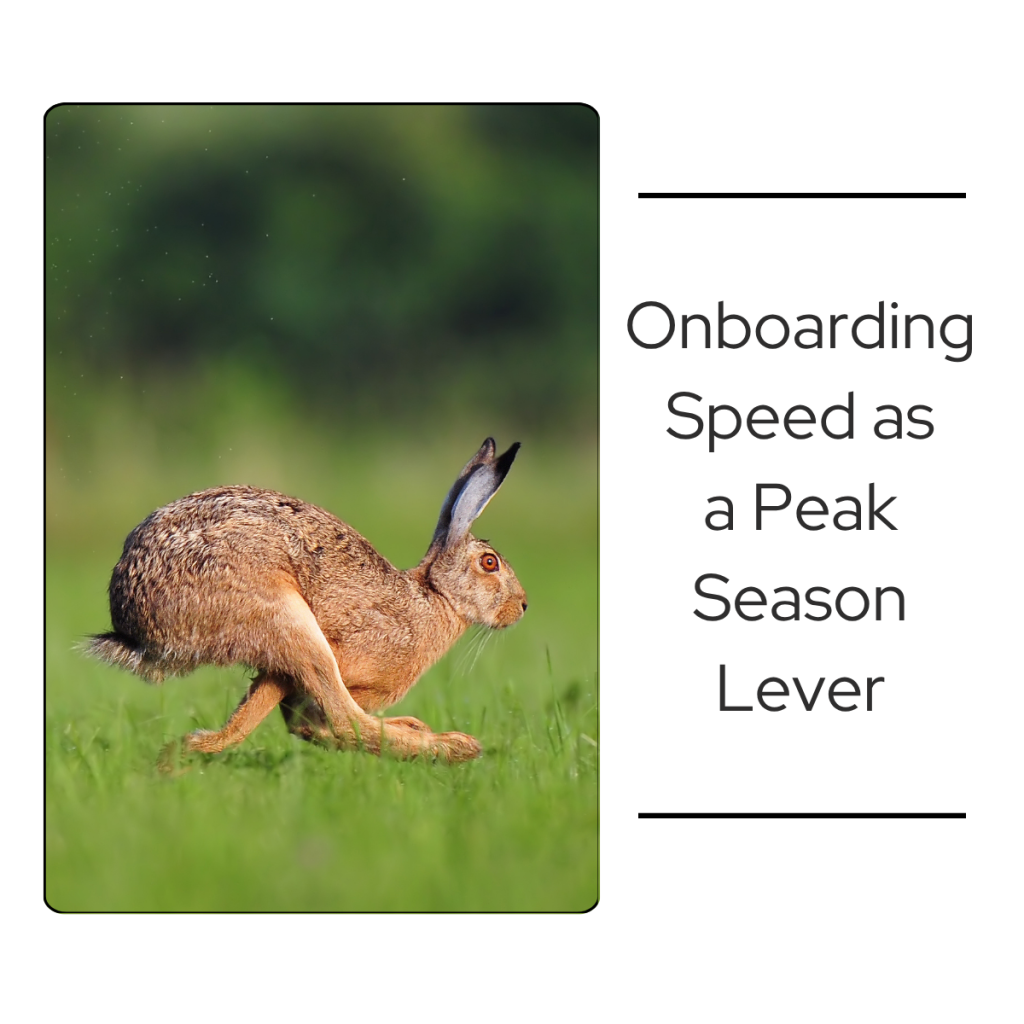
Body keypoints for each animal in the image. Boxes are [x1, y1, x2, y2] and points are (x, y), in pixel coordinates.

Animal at [87, 438, 527, 766]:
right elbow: (317, 718)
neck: (435, 596)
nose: (523, 606)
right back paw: (456, 746)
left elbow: (299, 721)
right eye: (490, 563)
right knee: (345, 718)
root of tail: (132, 623)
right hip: (287, 620)